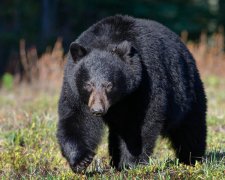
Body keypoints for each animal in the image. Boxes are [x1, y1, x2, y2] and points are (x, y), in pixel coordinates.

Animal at [55, 14, 206, 172]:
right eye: (88, 84)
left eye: (109, 85)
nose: (97, 110)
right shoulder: (74, 88)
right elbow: (77, 118)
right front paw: (81, 160)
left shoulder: (145, 82)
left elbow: (141, 123)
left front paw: (131, 163)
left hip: (187, 92)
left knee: (190, 128)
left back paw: (192, 158)